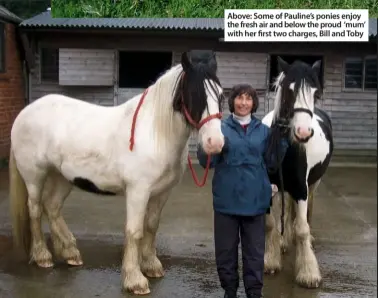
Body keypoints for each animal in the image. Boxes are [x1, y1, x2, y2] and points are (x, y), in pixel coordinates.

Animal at [8, 50, 226, 294]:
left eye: (221, 95)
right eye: (194, 94)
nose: (215, 143)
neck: (156, 133)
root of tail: (24, 113)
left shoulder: (161, 193)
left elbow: (151, 226)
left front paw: (151, 266)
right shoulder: (138, 191)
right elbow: (134, 231)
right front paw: (135, 280)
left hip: (62, 177)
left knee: (52, 207)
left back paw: (70, 253)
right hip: (34, 176)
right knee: (35, 210)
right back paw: (42, 256)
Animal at [262, 56, 334, 288]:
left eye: (315, 93)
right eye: (289, 89)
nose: (303, 133)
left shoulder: (301, 188)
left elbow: (302, 229)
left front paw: (308, 274)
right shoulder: (270, 186)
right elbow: (270, 224)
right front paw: (270, 261)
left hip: (312, 184)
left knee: (305, 215)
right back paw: (284, 242)